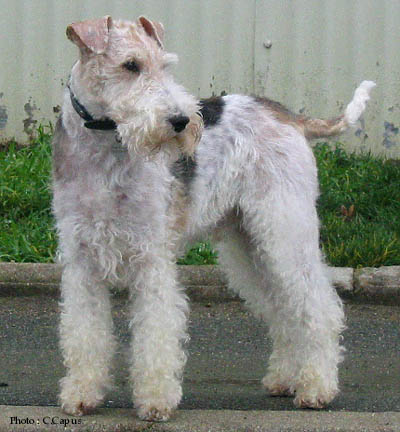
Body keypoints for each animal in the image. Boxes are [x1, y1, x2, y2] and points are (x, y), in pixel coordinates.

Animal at [52, 15, 376, 420]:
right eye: (130, 65)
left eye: (165, 65)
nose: (180, 120)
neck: (105, 149)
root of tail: (286, 114)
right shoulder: (81, 260)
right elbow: (85, 334)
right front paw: (81, 393)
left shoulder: (151, 257)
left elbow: (156, 333)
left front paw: (156, 400)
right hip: (250, 242)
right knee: (284, 309)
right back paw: (285, 379)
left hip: (285, 228)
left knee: (319, 308)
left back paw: (317, 388)